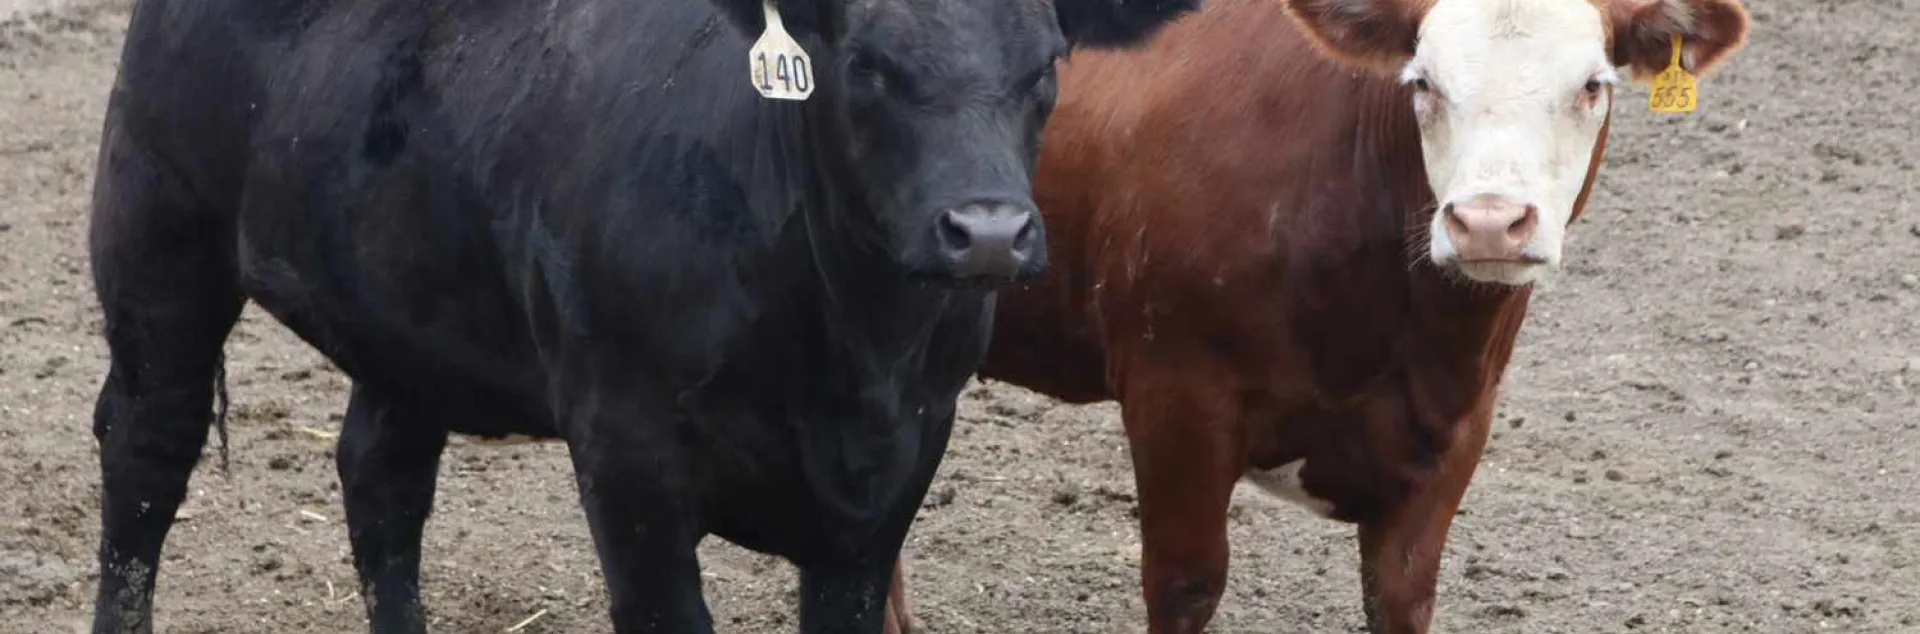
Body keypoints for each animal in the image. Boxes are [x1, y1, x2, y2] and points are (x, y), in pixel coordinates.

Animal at [82, 0, 1197, 632]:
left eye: (1047, 64)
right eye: (869, 66)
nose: (991, 232)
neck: (850, 348)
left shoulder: (899, 467)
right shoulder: (627, 451)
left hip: (409, 314)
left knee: (380, 479)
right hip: (157, 235)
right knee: (146, 457)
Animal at [886, 0, 1749, 632]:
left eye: (1593, 84)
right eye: (1423, 82)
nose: (1488, 222)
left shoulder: (1455, 436)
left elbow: (1399, 597)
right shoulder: (1176, 398)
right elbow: (1186, 584)